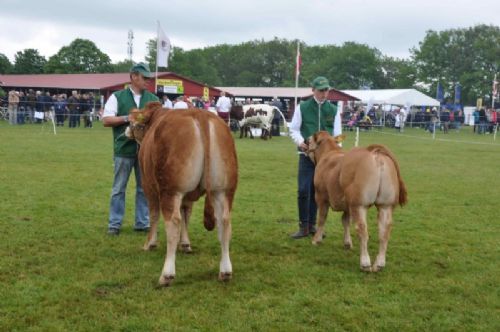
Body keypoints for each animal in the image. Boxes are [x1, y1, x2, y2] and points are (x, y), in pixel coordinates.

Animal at [128, 102, 239, 286]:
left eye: (135, 124)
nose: (126, 131)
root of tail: (201, 114)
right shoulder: (188, 196)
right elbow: (186, 213)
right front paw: (186, 244)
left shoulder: (149, 186)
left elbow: (154, 215)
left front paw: (150, 243)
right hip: (223, 190)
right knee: (224, 222)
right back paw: (225, 271)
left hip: (170, 189)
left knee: (173, 222)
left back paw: (167, 275)